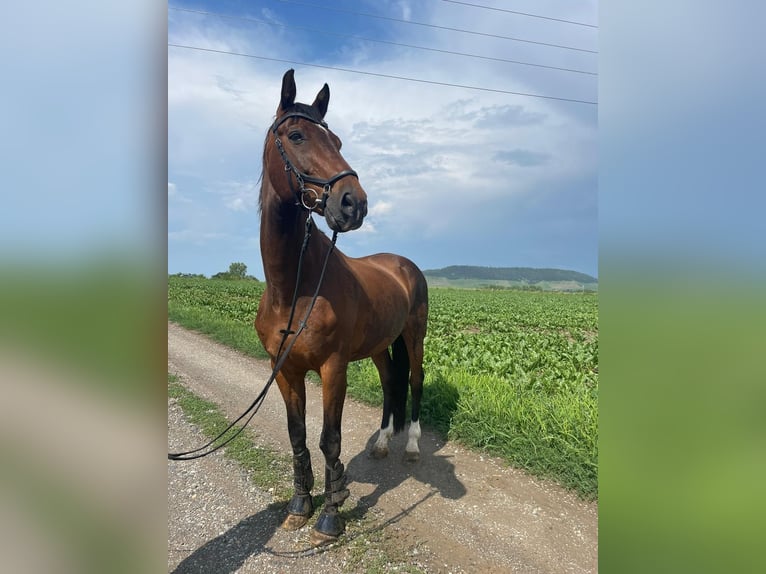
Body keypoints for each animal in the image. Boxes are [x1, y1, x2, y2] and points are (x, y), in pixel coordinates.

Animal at [255, 70, 428, 548]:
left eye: (337, 140)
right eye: (296, 135)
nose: (354, 203)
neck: (293, 289)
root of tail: (404, 265)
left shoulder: (333, 368)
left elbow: (329, 440)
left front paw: (331, 516)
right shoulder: (285, 370)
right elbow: (298, 436)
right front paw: (301, 504)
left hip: (415, 337)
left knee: (416, 381)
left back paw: (410, 447)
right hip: (380, 347)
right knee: (390, 383)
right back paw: (383, 443)